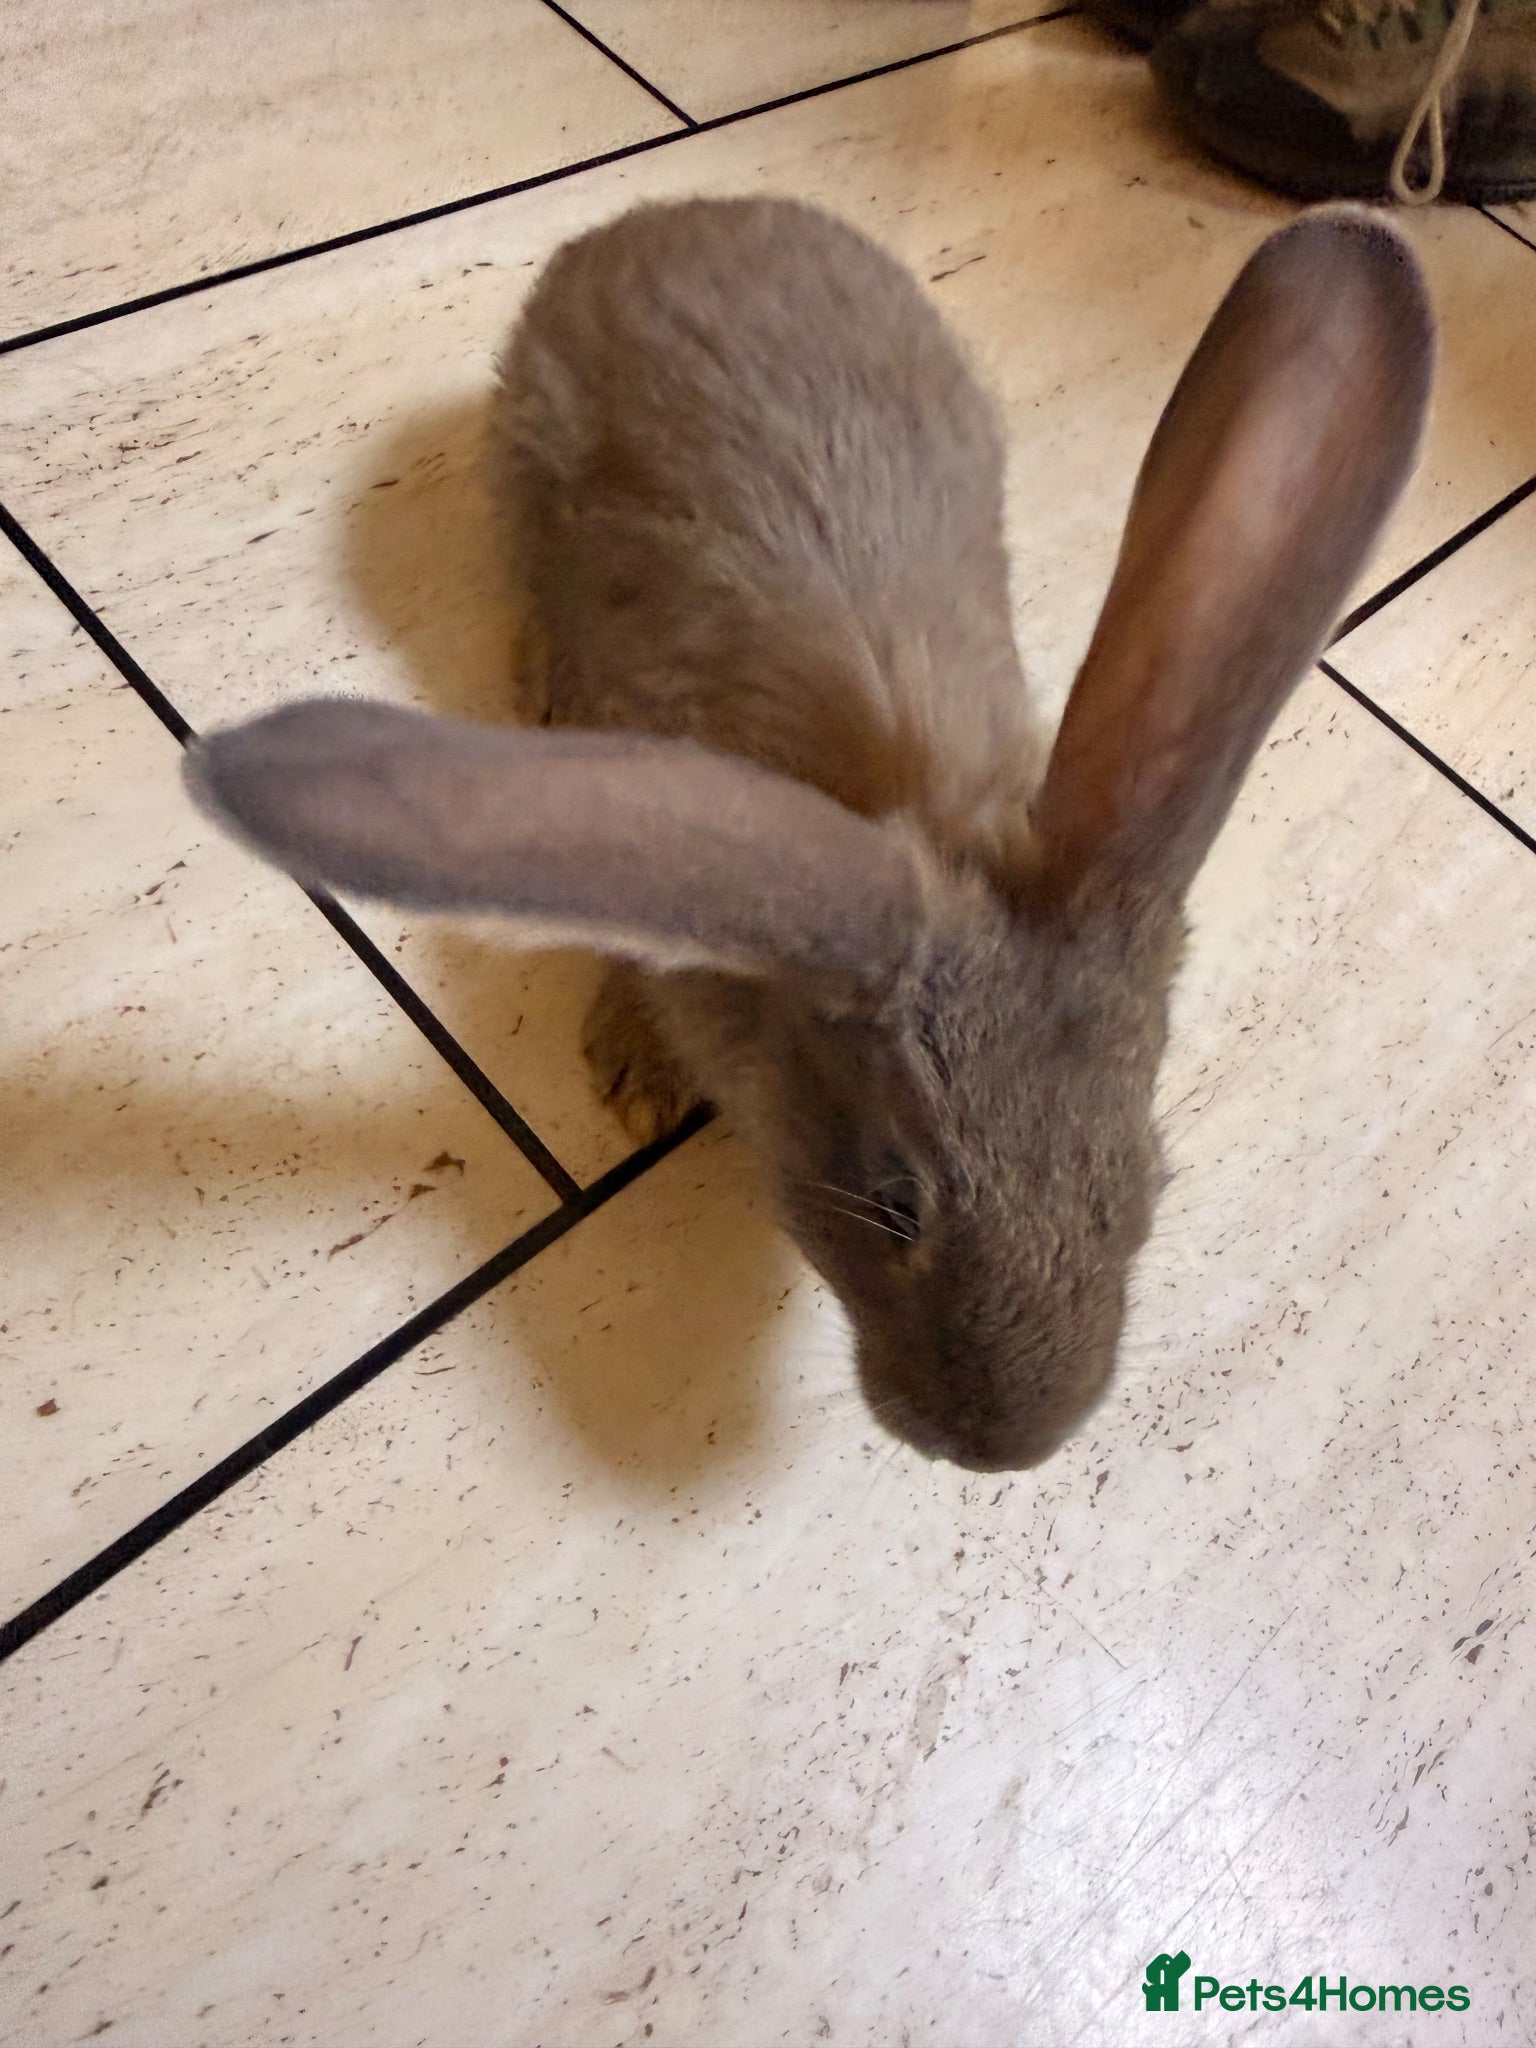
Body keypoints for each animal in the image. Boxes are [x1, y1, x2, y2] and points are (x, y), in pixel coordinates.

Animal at [185, 196, 1433, 1473]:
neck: (913, 805)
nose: (1007, 1449)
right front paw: (639, 1078)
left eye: (1142, 1188)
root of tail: (676, 214)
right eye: (895, 1200)